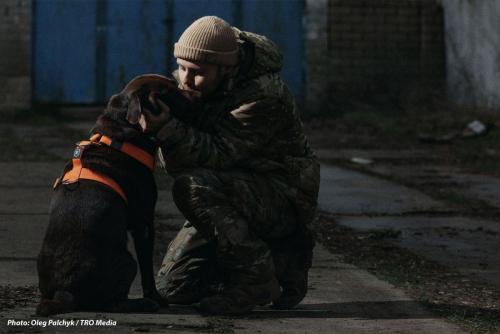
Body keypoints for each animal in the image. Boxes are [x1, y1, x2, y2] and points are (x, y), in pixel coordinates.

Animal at [36, 73, 197, 316]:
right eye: (170, 91)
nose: (197, 98)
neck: (121, 131)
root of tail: (65, 292)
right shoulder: (143, 223)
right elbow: (148, 270)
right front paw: (157, 298)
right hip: (128, 261)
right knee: (112, 303)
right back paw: (143, 304)